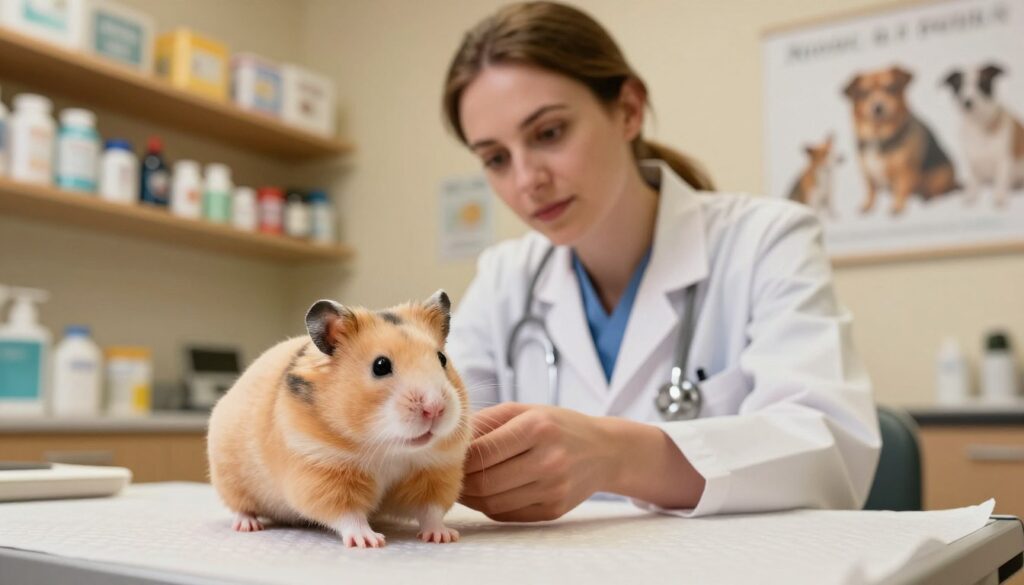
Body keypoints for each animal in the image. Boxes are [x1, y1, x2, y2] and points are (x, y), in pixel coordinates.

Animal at [207, 290, 471, 548]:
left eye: (442, 359)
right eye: (381, 365)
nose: (435, 409)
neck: (389, 449)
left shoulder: (434, 471)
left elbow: (431, 511)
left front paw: (444, 536)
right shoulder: (322, 470)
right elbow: (348, 514)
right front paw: (369, 541)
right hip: (230, 480)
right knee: (241, 507)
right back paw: (248, 525)